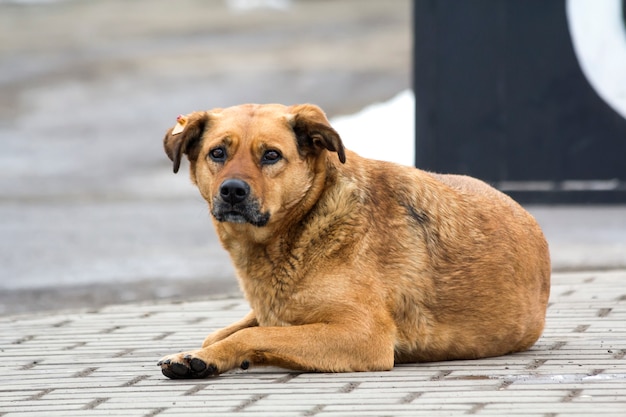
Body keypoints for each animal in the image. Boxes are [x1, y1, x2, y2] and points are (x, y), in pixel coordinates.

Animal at [158, 103, 548, 376]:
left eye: (271, 155)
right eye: (217, 153)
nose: (232, 191)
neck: (304, 226)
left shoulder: (363, 334)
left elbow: (251, 335)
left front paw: (214, 357)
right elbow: (223, 333)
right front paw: (198, 354)